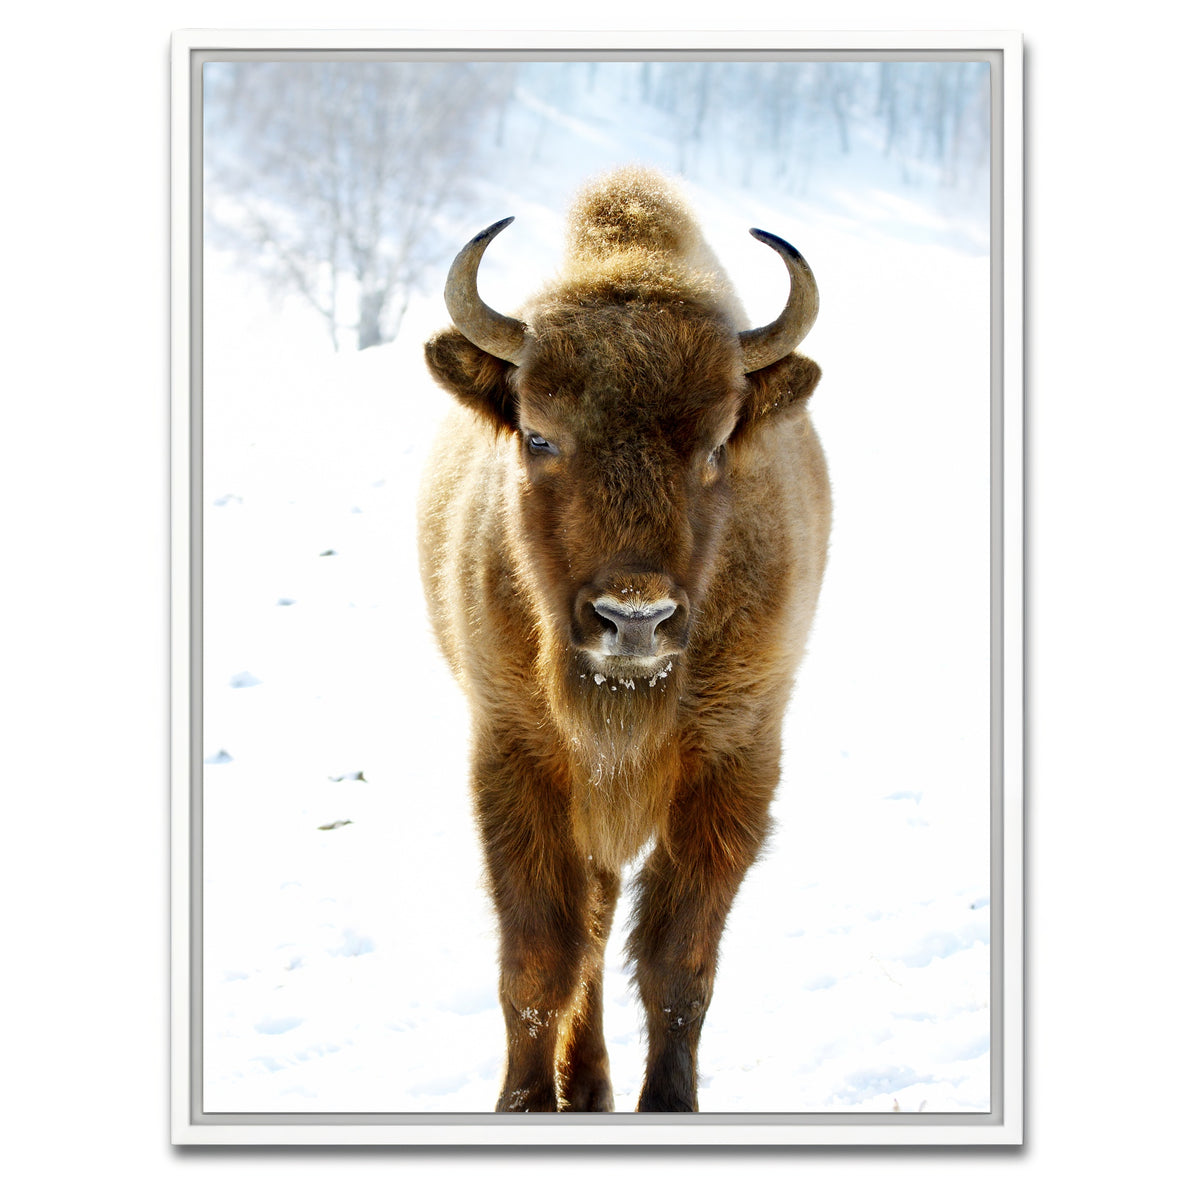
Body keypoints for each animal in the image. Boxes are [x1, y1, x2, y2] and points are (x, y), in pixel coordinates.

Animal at [419, 167, 830, 1112]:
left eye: (717, 445)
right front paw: (526, 1104)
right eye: (538, 435)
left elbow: (679, 964)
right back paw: (588, 1082)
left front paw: (667, 1104)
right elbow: (539, 959)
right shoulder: (519, 756)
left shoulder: (733, 762)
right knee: (591, 930)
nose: (633, 617)